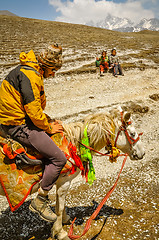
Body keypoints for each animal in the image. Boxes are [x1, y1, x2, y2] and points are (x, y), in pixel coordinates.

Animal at [0, 107, 145, 240]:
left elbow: (61, 205)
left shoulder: (60, 183)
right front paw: (60, 232)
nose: (142, 153)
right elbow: (59, 208)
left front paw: (66, 220)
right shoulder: (64, 182)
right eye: (132, 134)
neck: (73, 143)